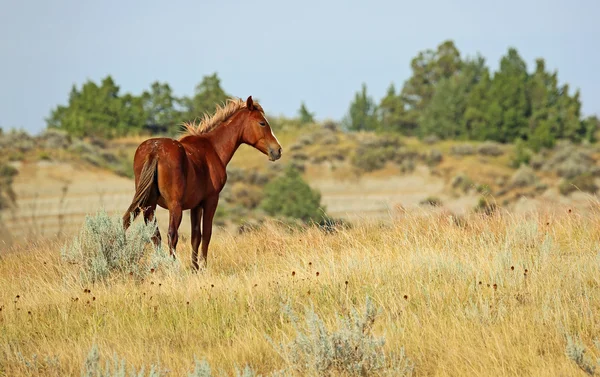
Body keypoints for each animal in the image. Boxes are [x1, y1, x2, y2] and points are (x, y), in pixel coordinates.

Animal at [123, 95, 282, 268]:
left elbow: (195, 236)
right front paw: (203, 266)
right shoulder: (210, 200)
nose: (277, 150)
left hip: (149, 206)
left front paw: (195, 267)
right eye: (262, 123)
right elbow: (206, 233)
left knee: (148, 231)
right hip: (174, 207)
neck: (213, 148)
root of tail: (155, 150)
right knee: (171, 234)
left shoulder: (196, 205)